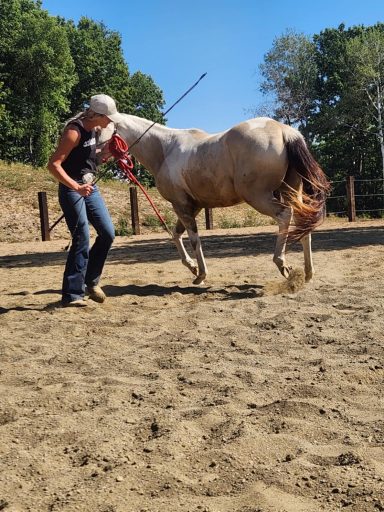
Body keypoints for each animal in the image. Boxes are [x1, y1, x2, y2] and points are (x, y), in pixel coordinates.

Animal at [100, 114, 332, 286]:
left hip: (259, 196)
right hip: (291, 191)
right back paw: (307, 273)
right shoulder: (192, 206)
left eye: (98, 127)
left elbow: (193, 238)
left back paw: (282, 264)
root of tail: (284, 131)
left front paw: (200, 274)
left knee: (285, 216)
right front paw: (193, 268)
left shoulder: (181, 205)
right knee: (302, 224)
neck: (165, 149)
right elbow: (176, 235)